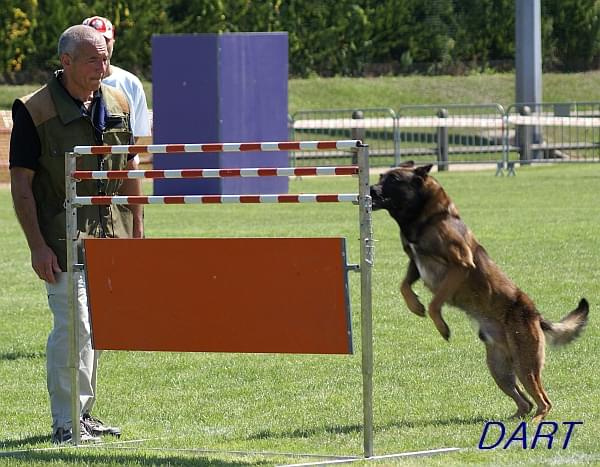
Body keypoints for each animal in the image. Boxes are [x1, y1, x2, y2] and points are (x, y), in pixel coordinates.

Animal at [370, 163, 592, 422]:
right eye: (381, 176)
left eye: (394, 179)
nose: (370, 190)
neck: (429, 217)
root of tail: (536, 315)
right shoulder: (415, 263)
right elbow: (404, 286)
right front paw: (415, 305)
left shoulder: (460, 266)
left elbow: (436, 302)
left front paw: (442, 327)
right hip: (499, 369)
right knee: (525, 402)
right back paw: (512, 418)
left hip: (525, 365)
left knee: (544, 402)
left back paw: (536, 422)